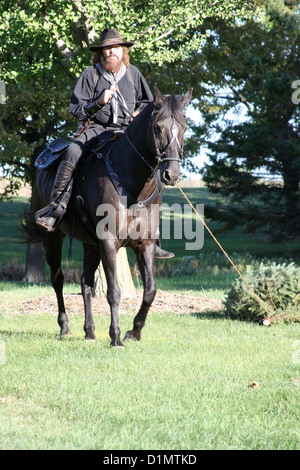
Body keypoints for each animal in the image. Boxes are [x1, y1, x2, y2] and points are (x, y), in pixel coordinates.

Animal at [29, 87, 192, 346]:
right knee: (58, 280)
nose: (172, 174)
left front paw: (134, 331)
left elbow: (150, 291)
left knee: (85, 282)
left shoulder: (144, 245)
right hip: (53, 238)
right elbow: (114, 291)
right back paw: (65, 327)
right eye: (158, 127)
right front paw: (116, 337)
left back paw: (90, 331)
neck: (132, 184)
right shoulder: (108, 242)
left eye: (184, 126)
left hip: (90, 245)